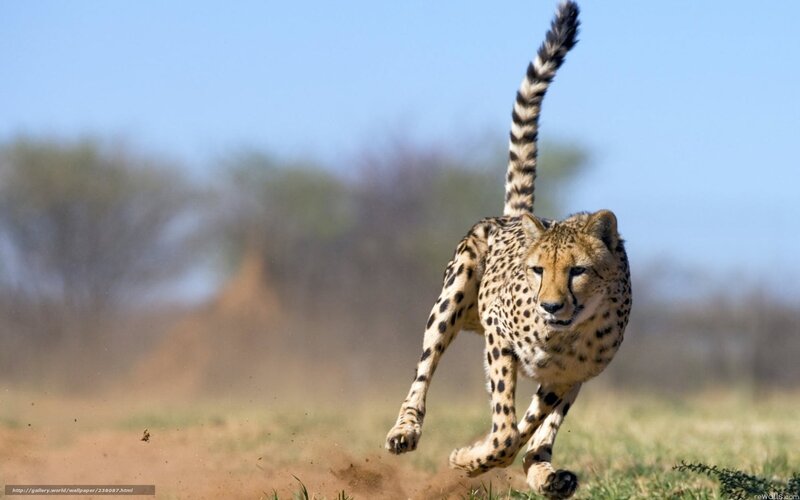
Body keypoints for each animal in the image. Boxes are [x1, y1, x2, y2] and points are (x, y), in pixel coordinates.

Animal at [384, 2, 631, 498]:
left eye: (577, 270)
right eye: (537, 271)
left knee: (538, 431)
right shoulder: (499, 338)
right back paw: (406, 429)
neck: (566, 332)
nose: (551, 305)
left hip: (570, 380)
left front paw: (480, 458)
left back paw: (547, 472)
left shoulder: (567, 375)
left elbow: (525, 427)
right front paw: (469, 459)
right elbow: (503, 430)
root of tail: (517, 216)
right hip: (453, 295)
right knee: (425, 369)